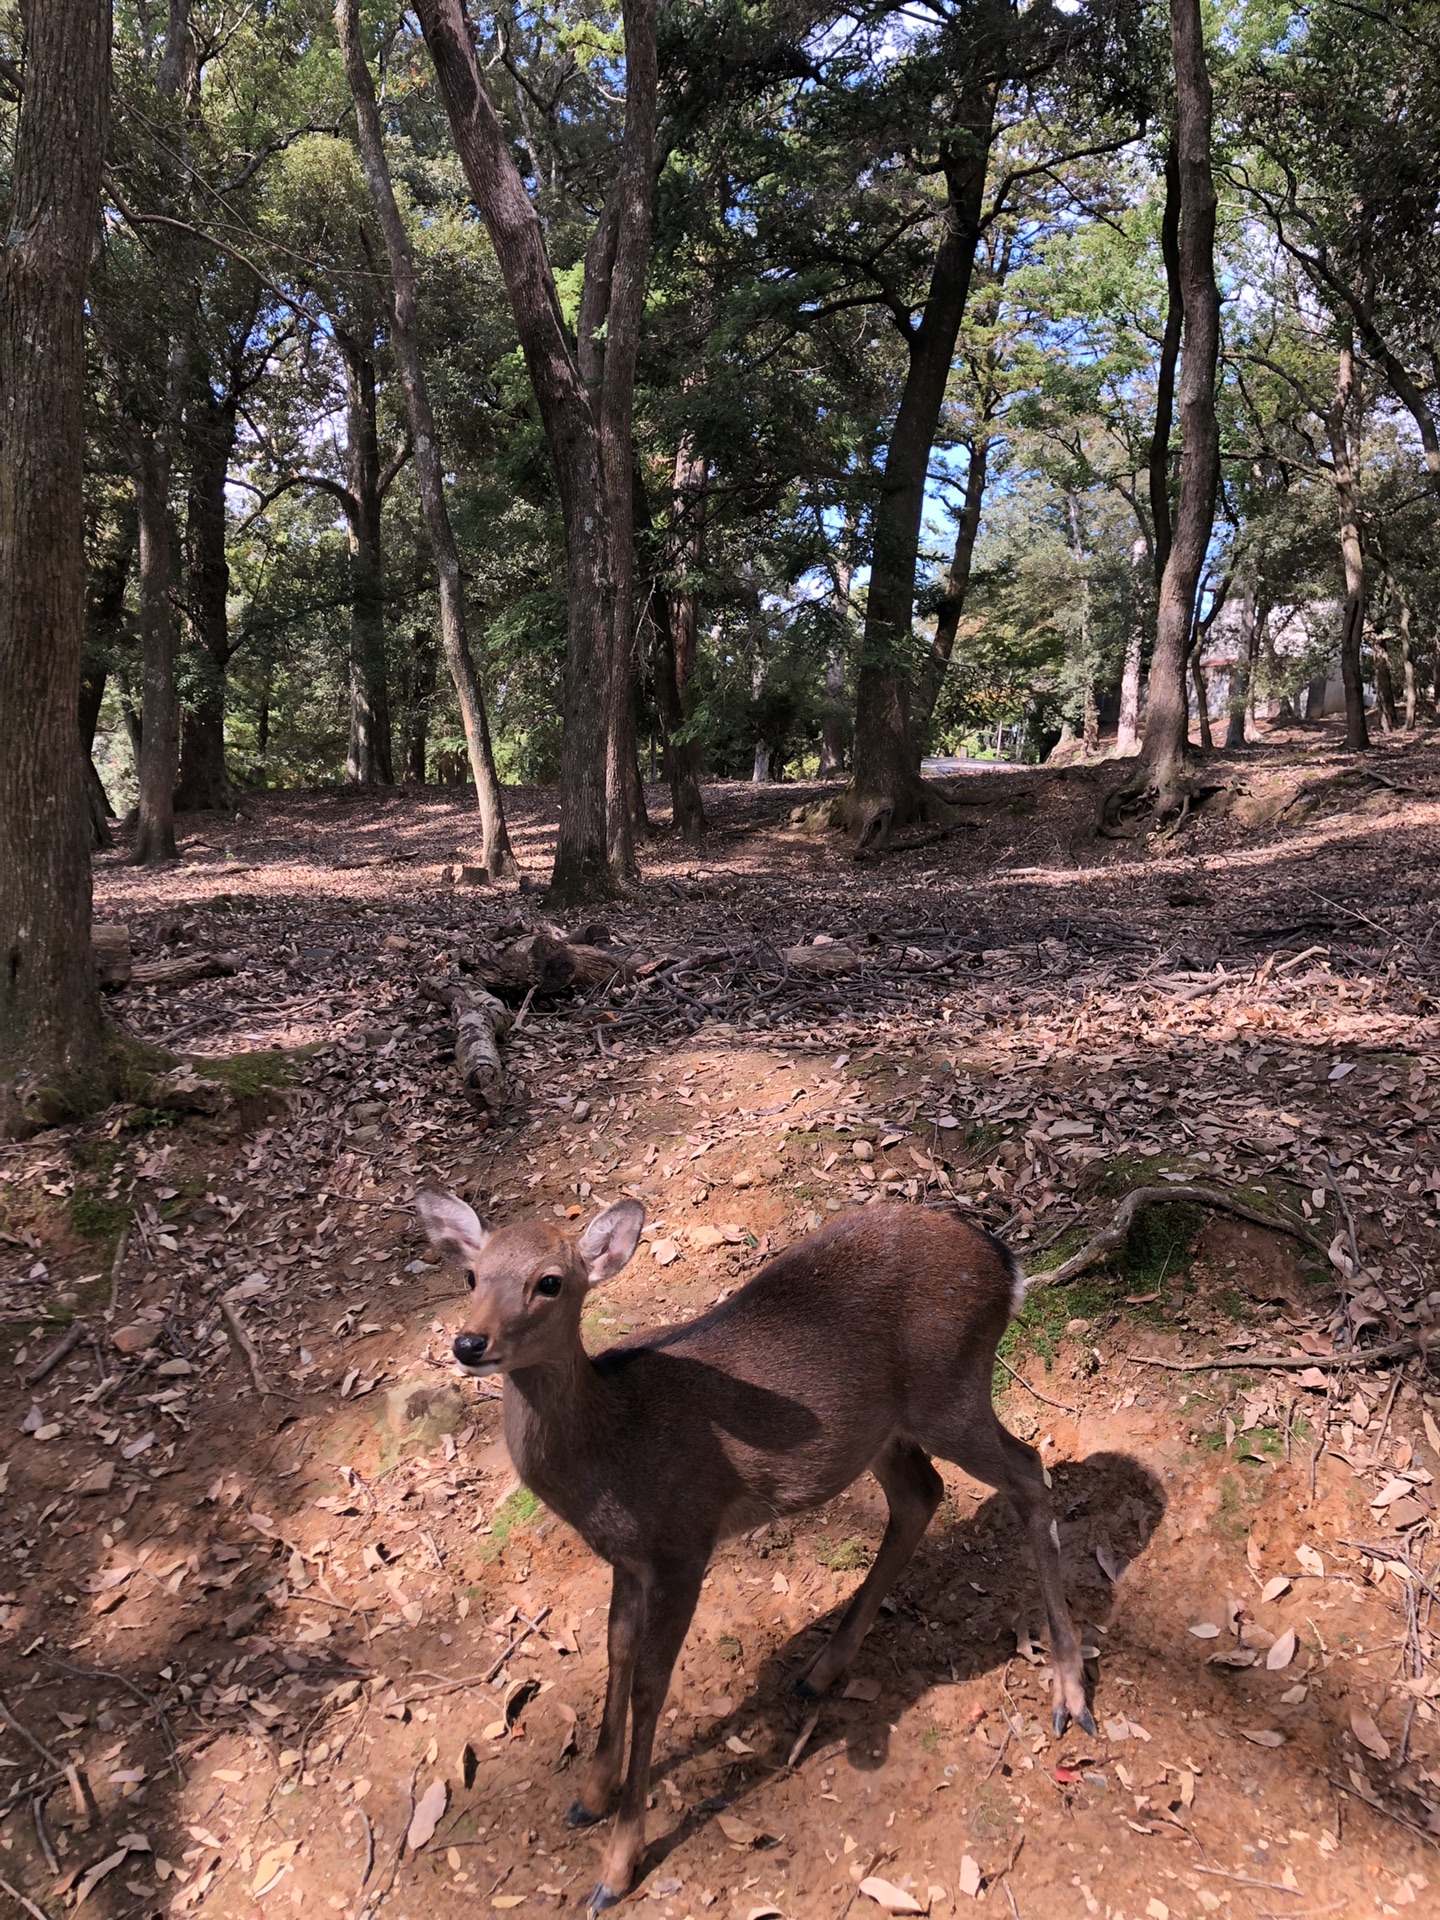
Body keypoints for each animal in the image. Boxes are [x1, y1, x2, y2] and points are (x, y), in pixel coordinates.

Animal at [416, 1190, 1090, 1912]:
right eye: (471, 1276)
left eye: (550, 1281)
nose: (469, 1343)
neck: (611, 1453)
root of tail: (1006, 1265)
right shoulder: (628, 1558)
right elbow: (616, 1651)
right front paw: (588, 1797)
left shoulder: (684, 1543)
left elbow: (651, 1685)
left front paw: (615, 1870)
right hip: (879, 1430)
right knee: (922, 1493)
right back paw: (820, 1670)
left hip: (949, 1392)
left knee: (1029, 1470)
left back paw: (1071, 1698)